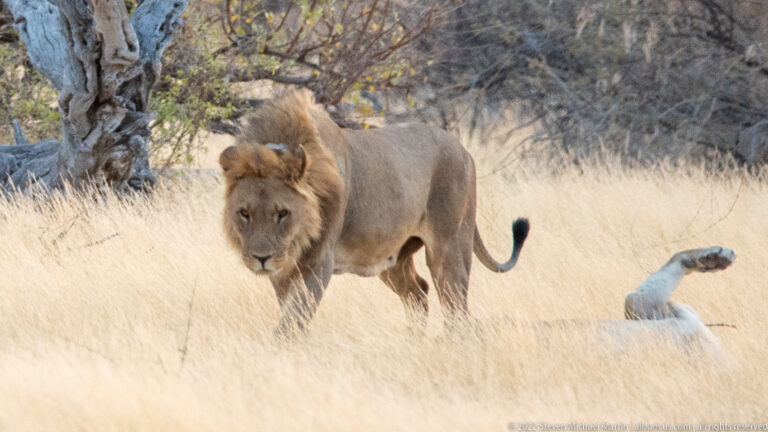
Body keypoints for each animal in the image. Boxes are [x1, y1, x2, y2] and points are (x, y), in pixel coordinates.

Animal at [219, 88, 529, 336]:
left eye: (282, 213)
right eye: (244, 213)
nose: (261, 258)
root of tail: (463, 149)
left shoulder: (318, 262)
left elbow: (293, 319)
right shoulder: (284, 268)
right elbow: (290, 313)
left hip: (450, 246)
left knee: (456, 307)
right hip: (393, 257)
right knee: (418, 293)